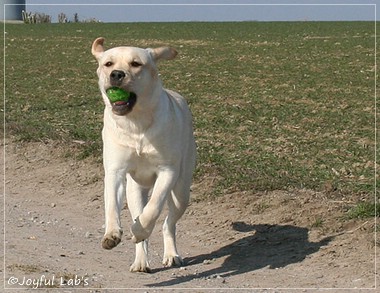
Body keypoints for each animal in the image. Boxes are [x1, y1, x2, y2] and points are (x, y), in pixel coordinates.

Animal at [91, 38, 196, 272]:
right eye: (108, 63)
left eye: (136, 63)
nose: (117, 74)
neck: (136, 124)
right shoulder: (115, 171)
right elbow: (111, 206)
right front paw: (111, 234)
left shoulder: (168, 171)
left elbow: (154, 207)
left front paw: (139, 230)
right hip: (134, 190)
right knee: (139, 215)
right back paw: (140, 262)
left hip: (182, 192)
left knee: (168, 223)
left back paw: (171, 254)